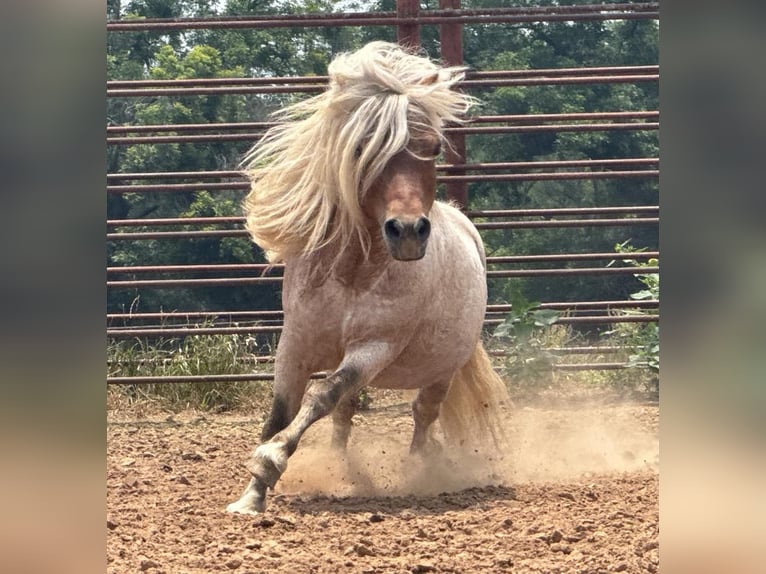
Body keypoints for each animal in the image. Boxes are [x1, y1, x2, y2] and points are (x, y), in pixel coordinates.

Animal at [228, 41, 510, 516]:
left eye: (434, 148)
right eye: (363, 146)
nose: (409, 231)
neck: (353, 273)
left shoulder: (375, 347)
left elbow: (321, 396)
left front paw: (269, 461)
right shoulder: (296, 342)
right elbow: (283, 410)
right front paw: (251, 495)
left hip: (442, 370)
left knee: (421, 415)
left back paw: (416, 473)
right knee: (347, 412)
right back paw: (342, 469)